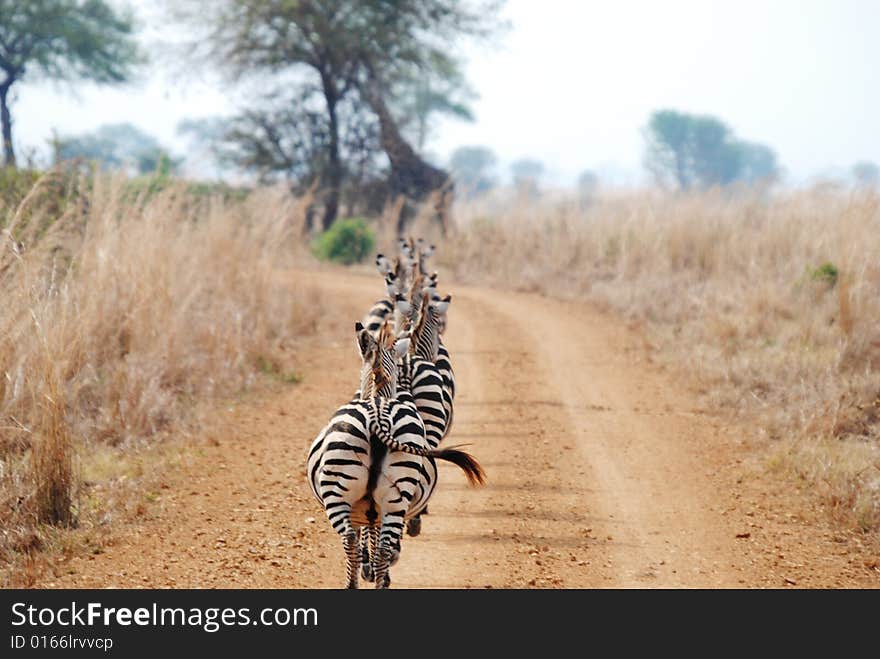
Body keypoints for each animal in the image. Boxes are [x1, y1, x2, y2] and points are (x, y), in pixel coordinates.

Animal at [308, 322, 488, 592]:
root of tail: (377, 415)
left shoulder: (365, 510)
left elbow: (367, 534)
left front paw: (369, 569)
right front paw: (373, 569)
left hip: (344, 493)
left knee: (352, 539)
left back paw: (362, 581)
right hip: (389, 494)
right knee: (374, 543)